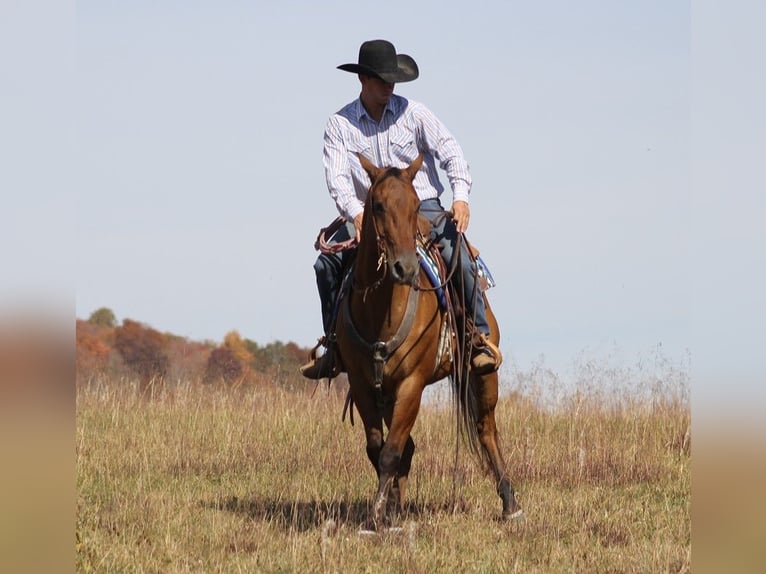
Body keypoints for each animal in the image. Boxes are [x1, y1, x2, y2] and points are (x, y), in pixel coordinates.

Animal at [338, 154, 524, 532]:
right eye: (378, 206)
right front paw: (386, 511)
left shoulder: (412, 384)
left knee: (486, 430)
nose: (405, 268)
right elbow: (378, 449)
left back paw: (510, 503)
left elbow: (391, 451)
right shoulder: (363, 384)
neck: (380, 311)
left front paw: (376, 518)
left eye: (413, 206)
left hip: (483, 376)